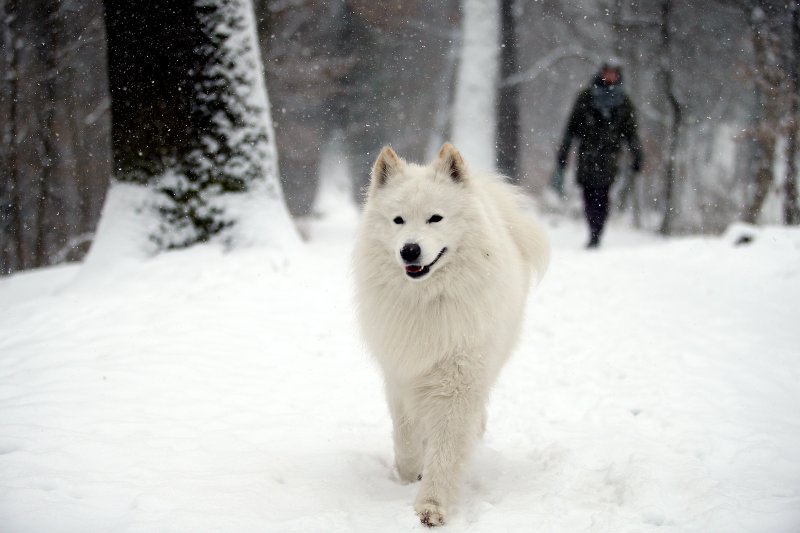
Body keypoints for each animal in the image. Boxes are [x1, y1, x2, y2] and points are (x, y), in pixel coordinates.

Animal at [354, 143, 552, 524]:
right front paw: (409, 473)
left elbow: (446, 450)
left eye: (436, 218)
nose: (410, 250)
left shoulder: (459, 381)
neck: (428, 300)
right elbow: (405, 436)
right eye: (398, 220)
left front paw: (431, 505)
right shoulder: (401, 373)